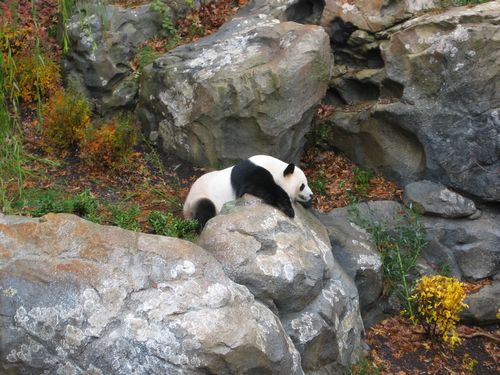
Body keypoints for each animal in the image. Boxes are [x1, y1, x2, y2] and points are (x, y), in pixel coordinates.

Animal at [184, 153, 312, 231]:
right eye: (302, 186)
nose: (311, 195)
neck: (276, 168)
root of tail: (185, 208)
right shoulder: (252, 173)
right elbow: (260, 187)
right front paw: (288, 208)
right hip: (201, 197)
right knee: (205, 209)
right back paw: (202, 227)